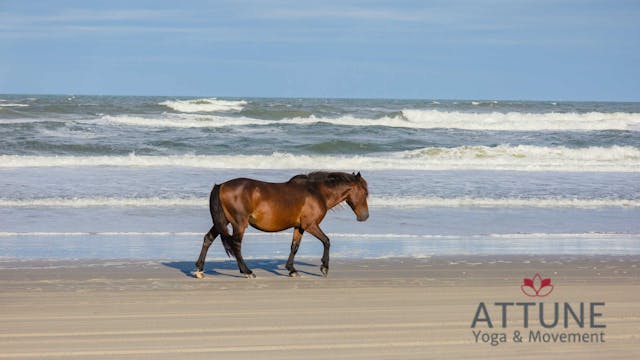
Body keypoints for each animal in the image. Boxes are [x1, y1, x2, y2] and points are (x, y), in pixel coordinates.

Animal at [192, 172, 368, 278]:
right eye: (365, 192)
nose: (364, 216)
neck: (317, 192)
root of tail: (221, 185)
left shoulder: (300, 227)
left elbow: (294, 247)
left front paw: (292, 270)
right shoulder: (310, 225)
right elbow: (326, 241)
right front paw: (324, 267)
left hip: (222, 222)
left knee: (208, 239)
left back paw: (199, 270)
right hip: (238, 223)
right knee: (236, 245)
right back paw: (247, 271)